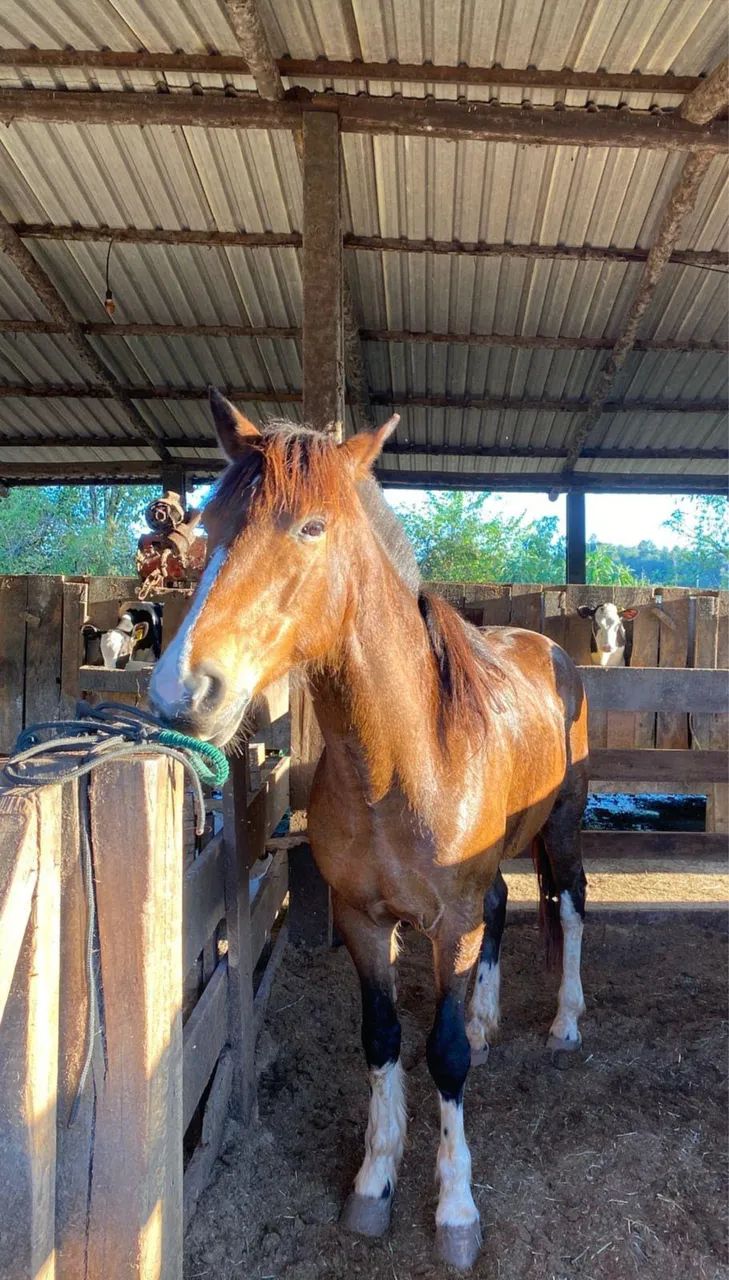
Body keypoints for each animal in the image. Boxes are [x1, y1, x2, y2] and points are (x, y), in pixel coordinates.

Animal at [150, 389, 589, 1271]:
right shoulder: (361, 918)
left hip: (560, 825)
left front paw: (454, 1208)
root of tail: (548, 647)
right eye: (209, 525)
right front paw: (373, 1182)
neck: (399, 760)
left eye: (311, 528)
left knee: (568, 902)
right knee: (502, 908)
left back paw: (564, 1020)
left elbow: (442, 1054)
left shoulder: (445, 921)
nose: (182, 692)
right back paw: (489, 1018)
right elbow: (382, 1037)